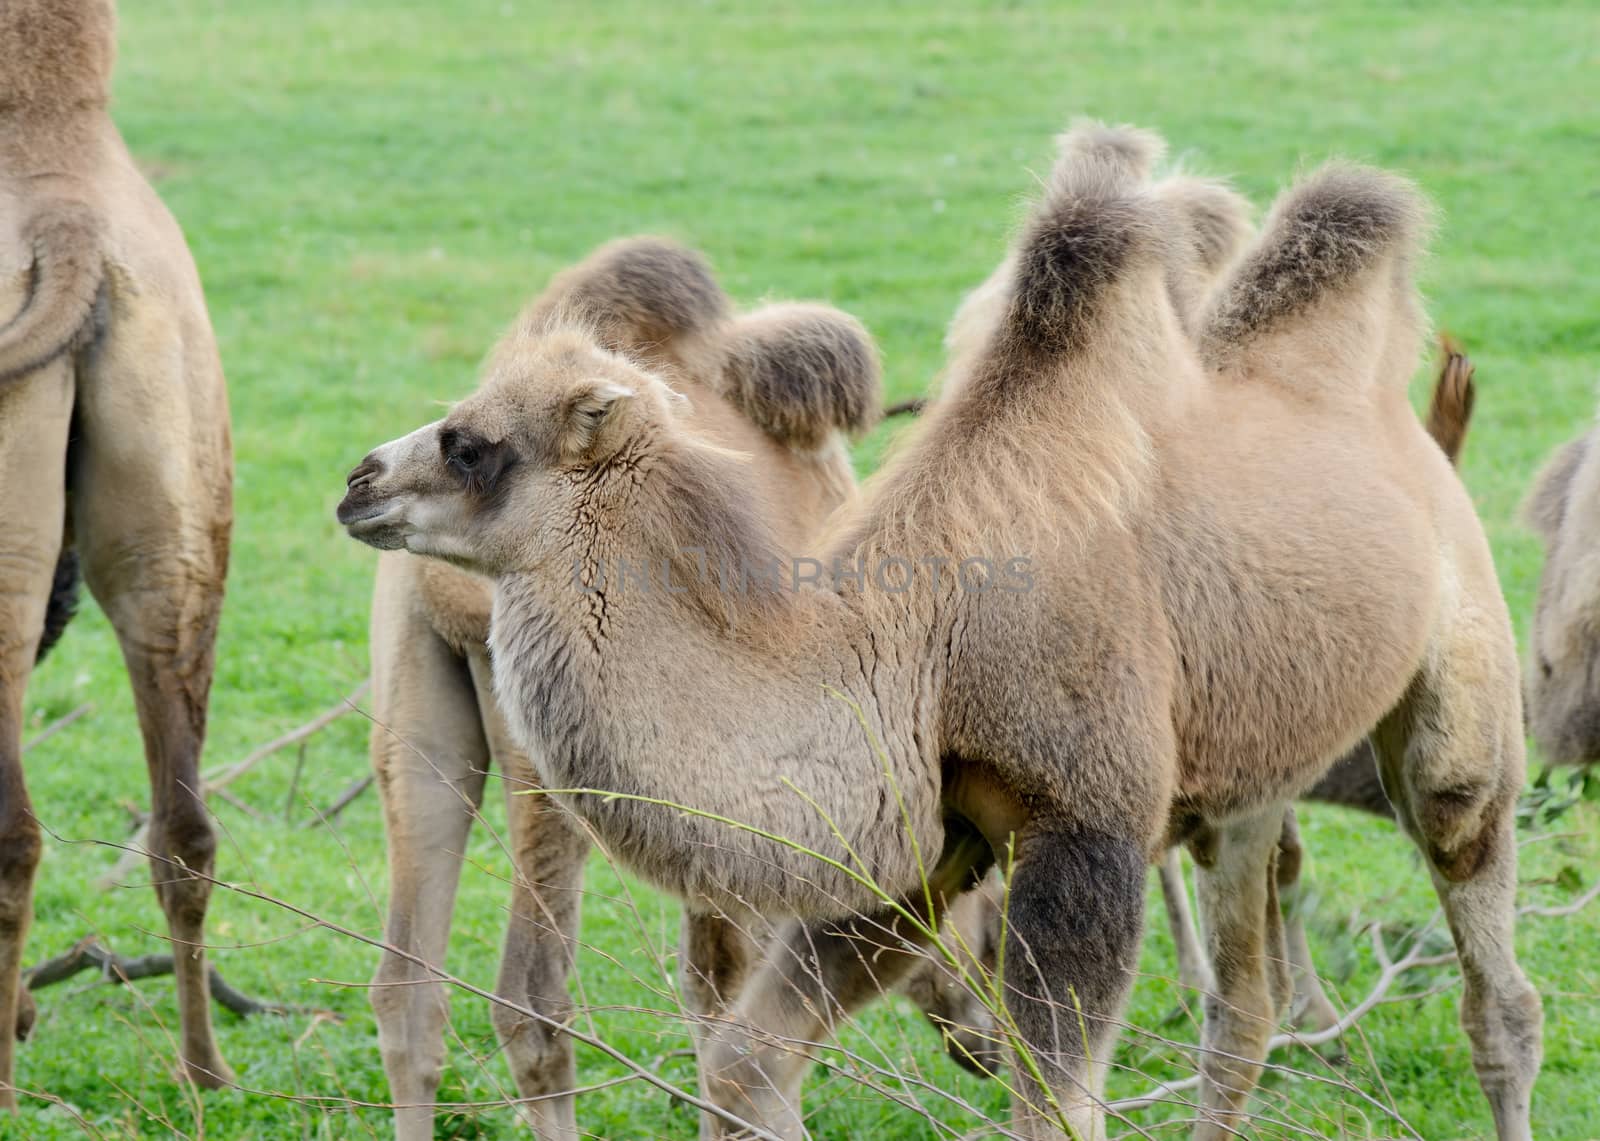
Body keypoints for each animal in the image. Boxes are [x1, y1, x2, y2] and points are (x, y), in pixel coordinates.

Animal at [334, 127, 1536, 1139]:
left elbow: (1051, 1101)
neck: (921, 640)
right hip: (1247, 766)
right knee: (1244, 1004)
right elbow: (745, 1061)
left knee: (1493, 971)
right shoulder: (925, 832)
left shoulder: (1085, 823)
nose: (358, 481)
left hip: (1459, 690)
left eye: (473, 443)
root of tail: (1397, 416)